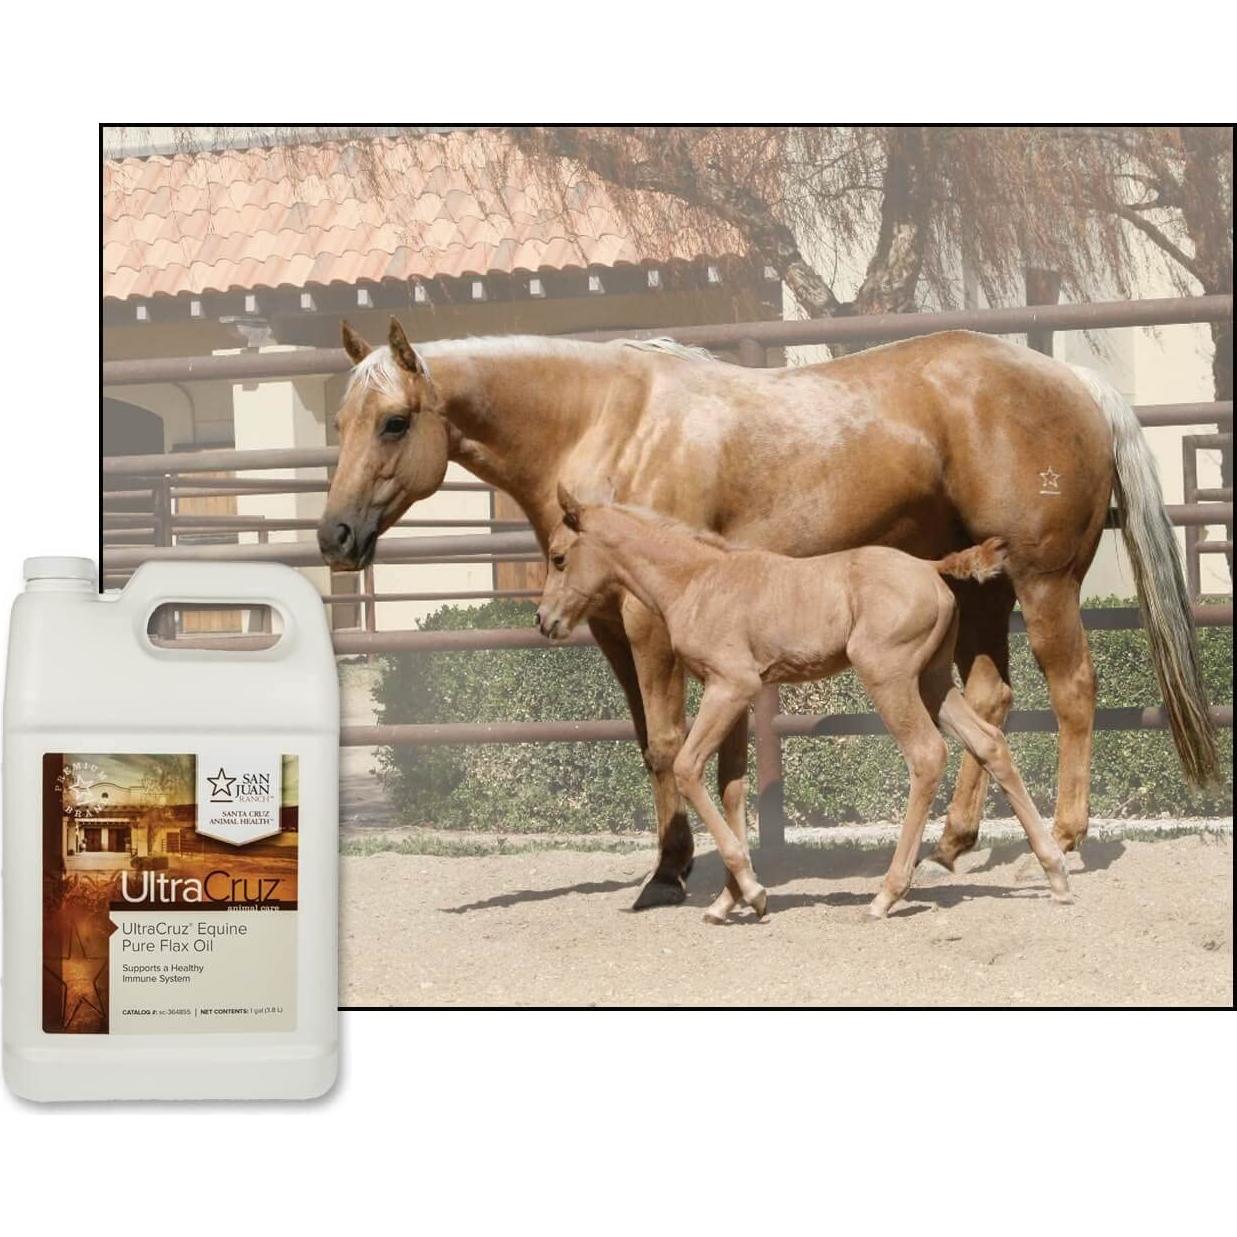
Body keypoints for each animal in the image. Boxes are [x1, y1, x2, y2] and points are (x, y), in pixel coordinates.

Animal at [535, 490, 1072, 921]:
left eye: (558, 557)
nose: (544, 620)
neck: (697, 580)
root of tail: (929, 566)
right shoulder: (735, 693)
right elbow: (732, 787)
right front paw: (729, 900)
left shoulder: (730, 686)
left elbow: (688, 768)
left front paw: (752, 892)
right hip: (933, 680)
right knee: (989, 742)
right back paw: (1055, 874)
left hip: (889, 677)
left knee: (926, 755)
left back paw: (887, 894)